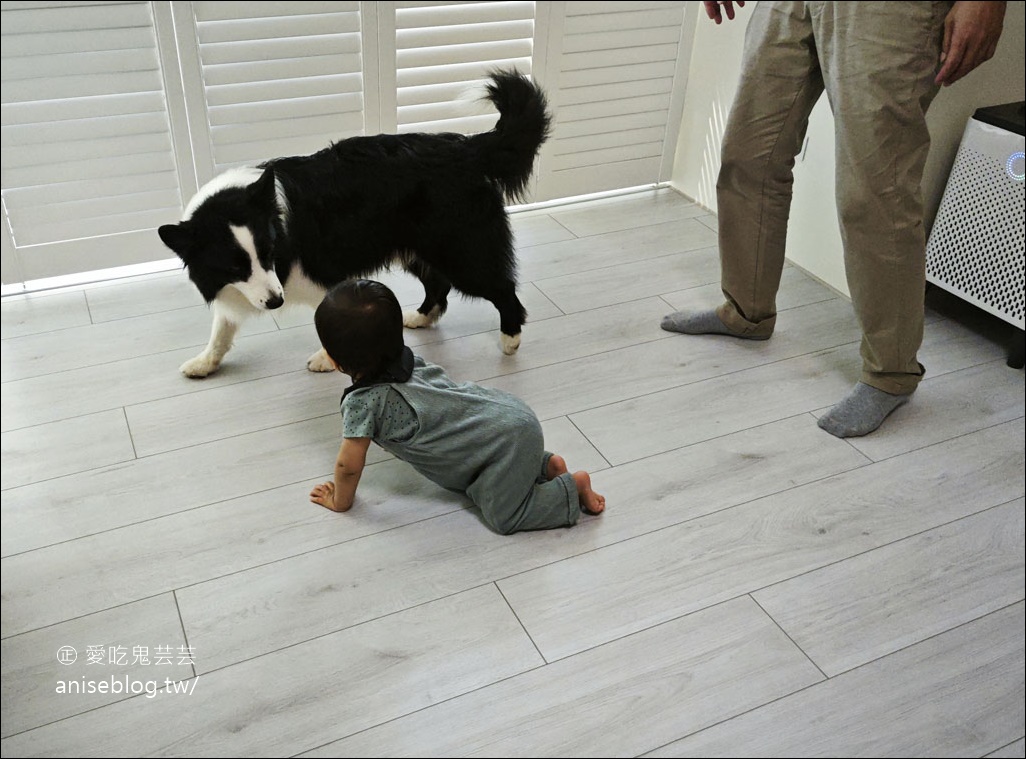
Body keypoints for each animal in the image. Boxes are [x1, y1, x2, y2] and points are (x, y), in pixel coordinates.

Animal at [155, 69, 549, 377]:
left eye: (269, 253)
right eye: (235, 266)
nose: (276, 303)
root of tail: (468, 148)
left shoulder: (322, 275)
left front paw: (326, 360)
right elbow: (221, 328)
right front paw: (205, 363)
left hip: (460, 248)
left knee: (501, 288)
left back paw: (510, 339)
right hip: (417, 246)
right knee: (438, 283)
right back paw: (421, 318)